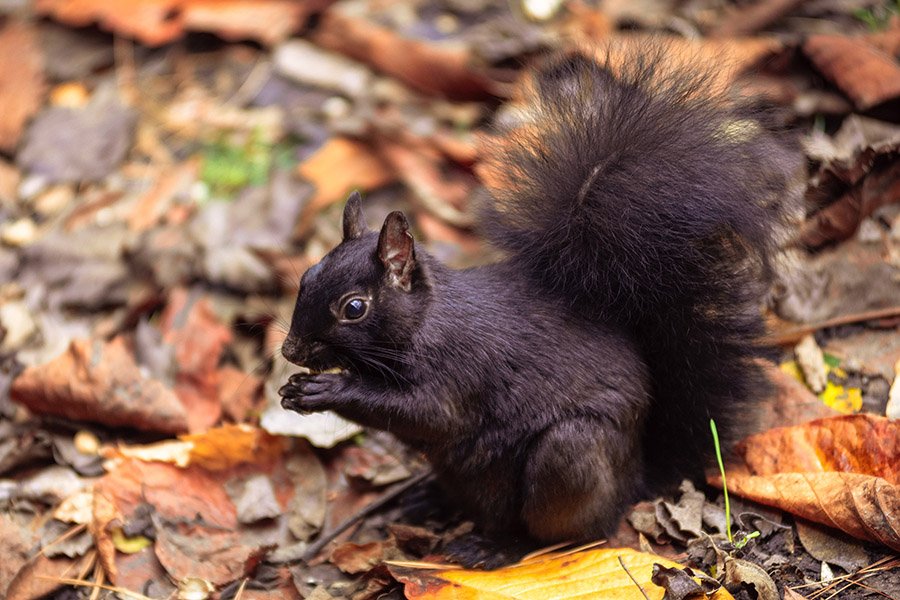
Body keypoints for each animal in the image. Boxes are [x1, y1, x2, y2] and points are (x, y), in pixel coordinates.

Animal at [279, 51, 796, 551]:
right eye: (307, 275)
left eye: (354, 308)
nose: (290, 352)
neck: (426, 322)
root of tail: (636, 479)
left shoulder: (458, 372)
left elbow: (426, 413)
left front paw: (325, 390)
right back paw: (430, 501)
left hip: (567, 455)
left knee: (568, 533)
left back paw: (500, 549)